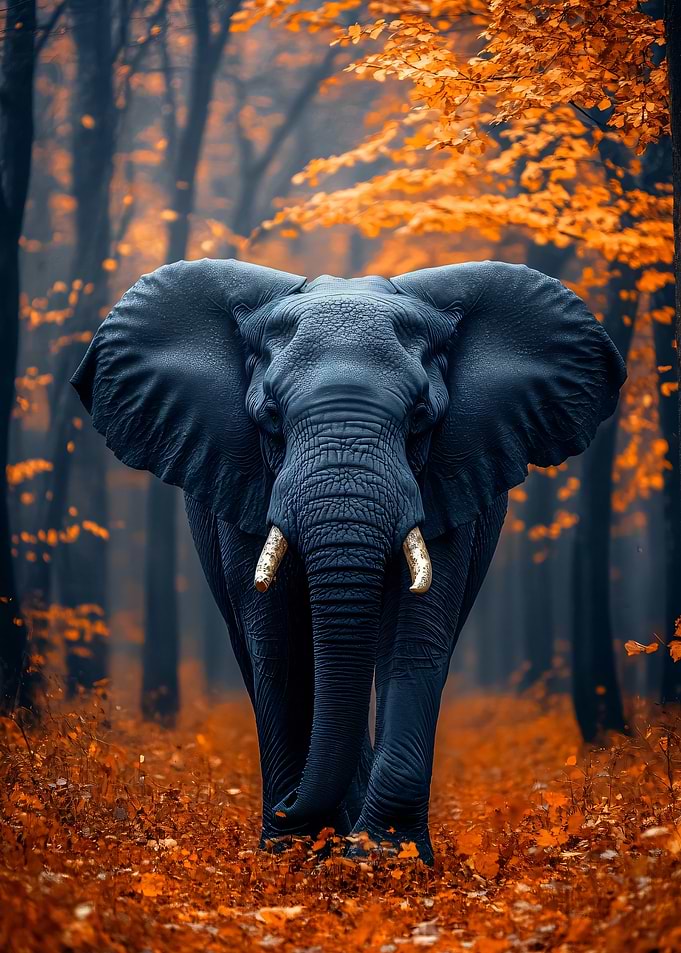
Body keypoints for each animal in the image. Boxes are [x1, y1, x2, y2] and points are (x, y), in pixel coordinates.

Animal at [71, 257, 626, 864]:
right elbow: (279, 642)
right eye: (270, 417)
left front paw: (386, 857)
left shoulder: (450, 476)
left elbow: (415, 635)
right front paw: (291, 853)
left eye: (421, 417)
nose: (289, 807)